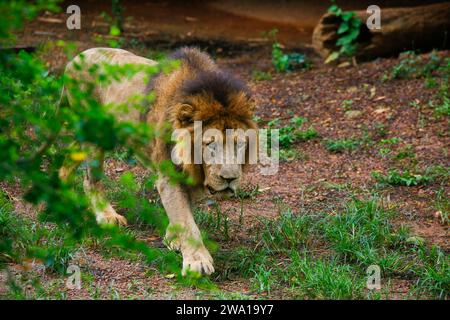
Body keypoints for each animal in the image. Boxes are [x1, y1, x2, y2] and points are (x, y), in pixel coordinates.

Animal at [60, 47, 256, 276]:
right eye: (210, 144)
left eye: (239, 144)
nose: (230, 178)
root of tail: (74, 58)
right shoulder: (169, 176)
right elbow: (186, 220)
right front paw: (197, 262)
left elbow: (183, 211)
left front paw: (173, 239)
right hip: (96, 134)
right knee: (90, 180)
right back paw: (107, 216)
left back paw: (61, 188)